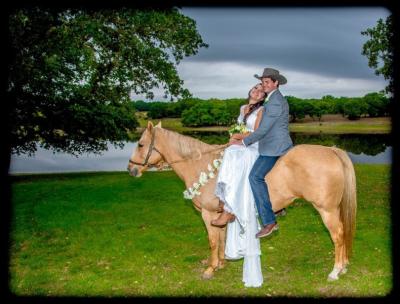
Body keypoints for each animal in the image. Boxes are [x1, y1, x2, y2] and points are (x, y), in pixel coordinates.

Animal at [127, 120, 356, 280]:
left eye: (140, 144)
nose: (131, 170)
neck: (201, 164)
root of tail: (331, 150)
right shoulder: (218, 215)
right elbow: (220, 238)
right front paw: (220, 263)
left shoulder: (208, 214)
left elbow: (212, 240)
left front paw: (210, 269)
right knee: (343, 232)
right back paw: (344, 266)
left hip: (326, 210)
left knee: (337, 235)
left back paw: (335, 271)